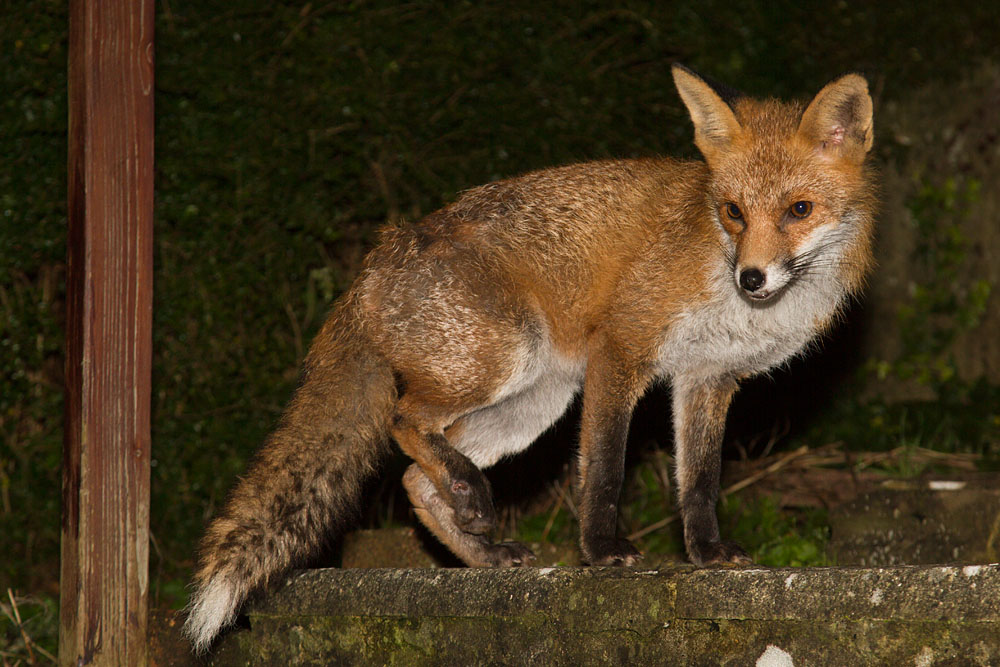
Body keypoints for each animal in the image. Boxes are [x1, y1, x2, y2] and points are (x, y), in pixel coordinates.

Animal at [183, 64, 876, 652]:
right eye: (733, 212)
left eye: (799, 210)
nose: (752, 278)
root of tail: (376, 260)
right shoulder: (620, 349)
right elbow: (604, 470)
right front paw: (600, 553)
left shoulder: (707, 377)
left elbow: (699, 482)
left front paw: (707, 557)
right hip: (501, 360)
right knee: (404, 421)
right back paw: (470, 497)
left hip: (534, 402)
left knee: (415, 475)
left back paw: (484, 553)